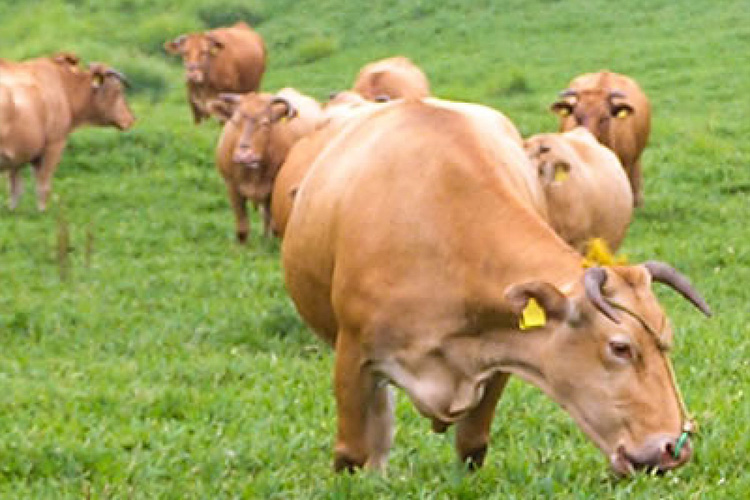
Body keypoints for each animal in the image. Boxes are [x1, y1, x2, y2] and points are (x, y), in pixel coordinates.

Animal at [0, 52, 135, 211]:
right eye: (118, 90)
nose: (131, 119)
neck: (64, 87)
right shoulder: (54, 145)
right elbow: (42, 186)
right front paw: (42, 211)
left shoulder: (19, 155)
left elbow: (15, 189)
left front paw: (13, 210)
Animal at [209, 88, 324, 244]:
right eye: (235, 121)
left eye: (265, 123)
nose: (244, 155)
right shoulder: (232, 187)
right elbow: (242, 228)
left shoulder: (273, 190)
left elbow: (273, 223)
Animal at [282, 98, 712, 476]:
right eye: (620, 347)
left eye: (666, 340)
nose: (673, 448)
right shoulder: (353, 355)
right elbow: (351, 453)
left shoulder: (502, 353)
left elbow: (472, 446)